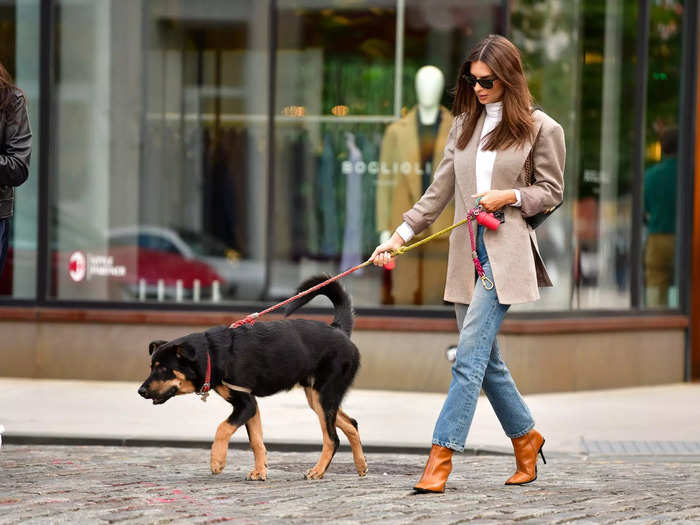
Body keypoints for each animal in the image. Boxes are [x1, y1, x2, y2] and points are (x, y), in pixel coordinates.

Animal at [137, 276, 366, 482]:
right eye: (151, 367)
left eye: (164, 369)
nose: (141, 391)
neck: (211, 354)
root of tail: (339, 329)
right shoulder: (250, 406)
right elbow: (256, 441)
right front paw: (260, 472)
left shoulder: (245, 404)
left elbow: (222, 428)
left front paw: (217, 461)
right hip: (318, 398)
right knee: (351, 424)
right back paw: (361, 465)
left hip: (324, 397)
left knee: (332, 439)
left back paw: (318, 471)